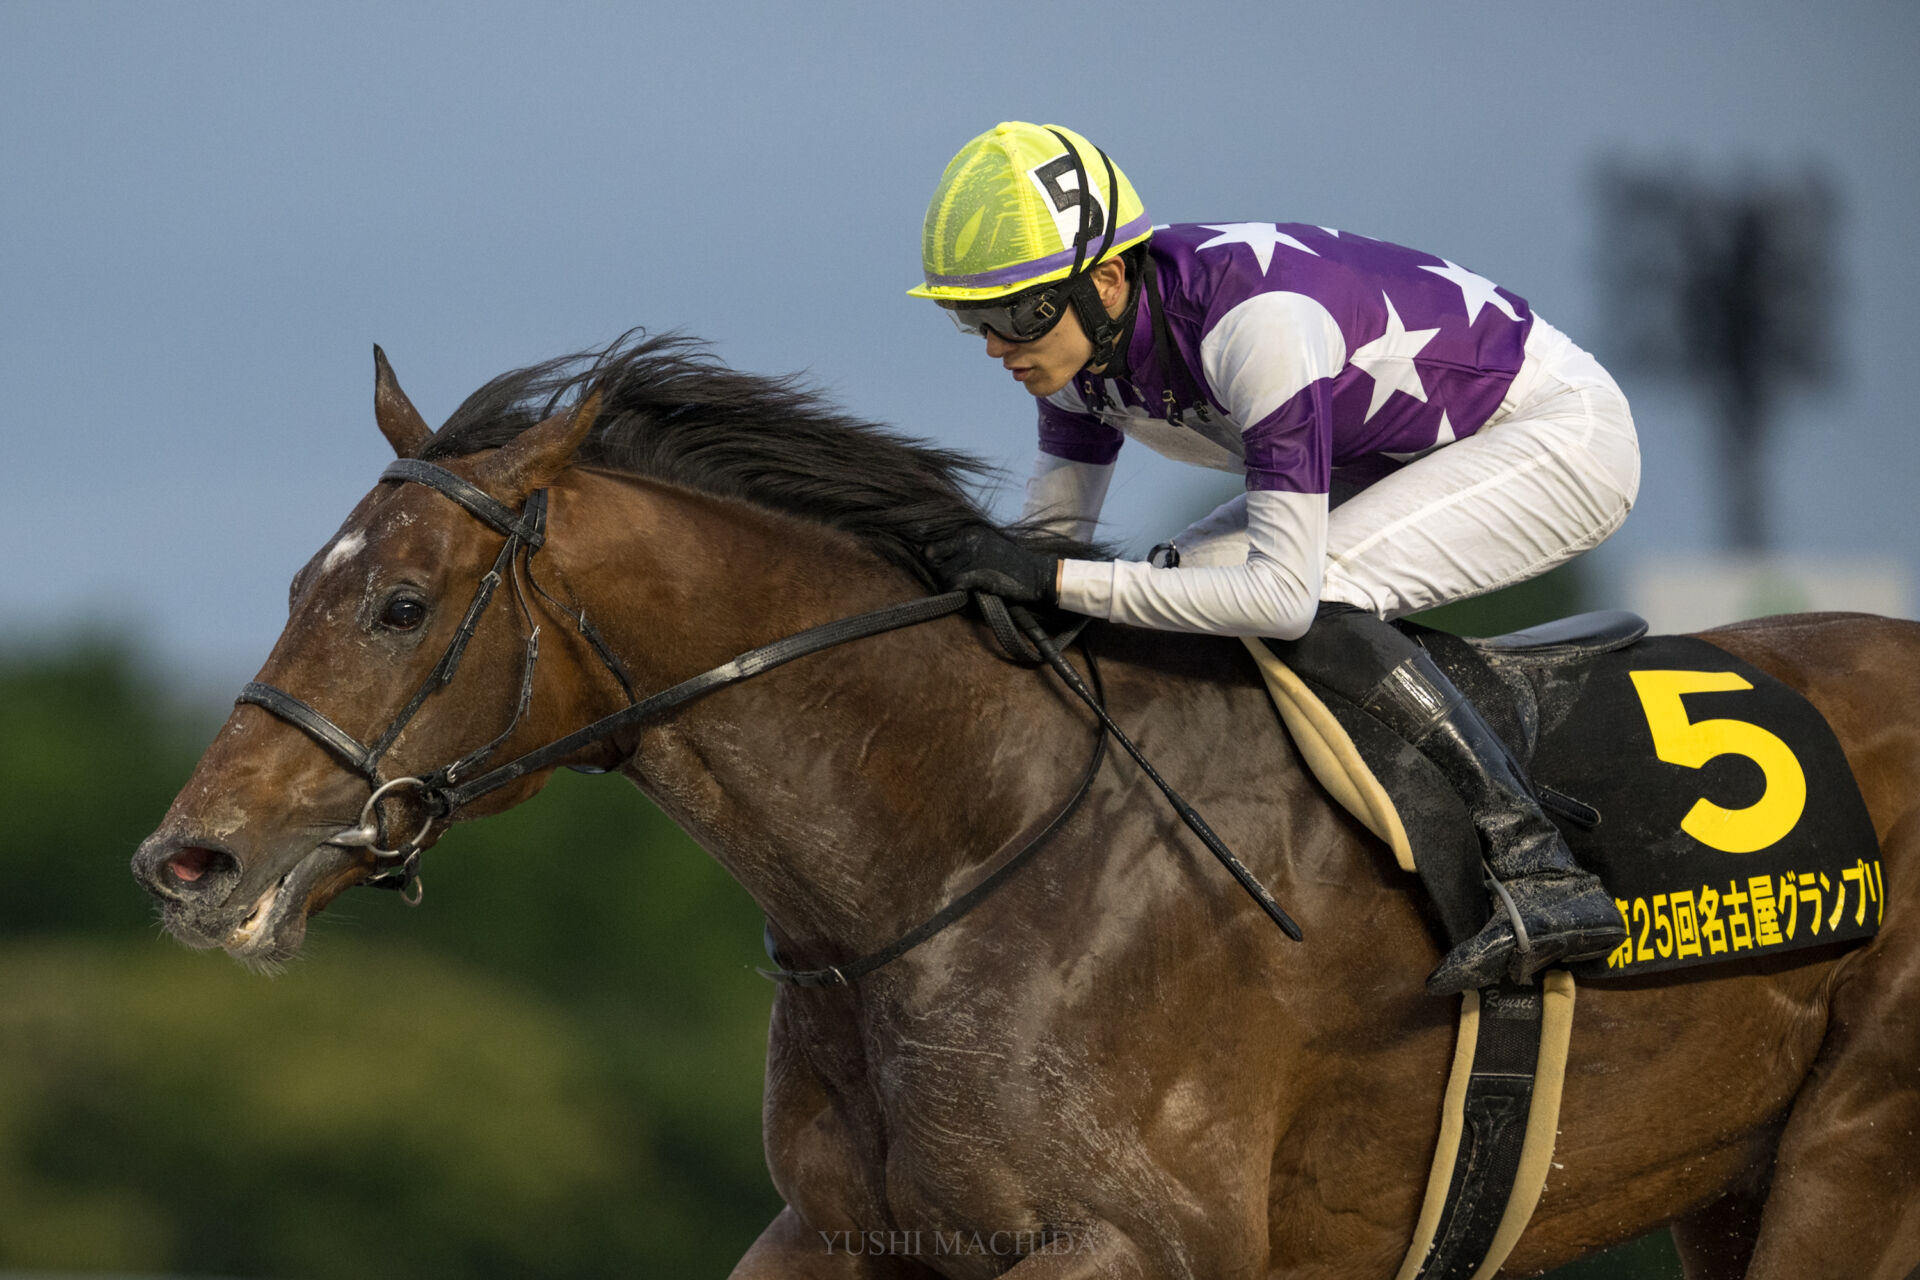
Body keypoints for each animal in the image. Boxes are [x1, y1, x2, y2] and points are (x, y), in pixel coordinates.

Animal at [134, 334, 1920, 1279]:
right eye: (302, 587)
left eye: (401, 607)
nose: (189, 861)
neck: (954, 843)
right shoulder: (840, 1232)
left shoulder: (1136, 1244)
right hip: (1729, 1182)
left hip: (1850, 1158)